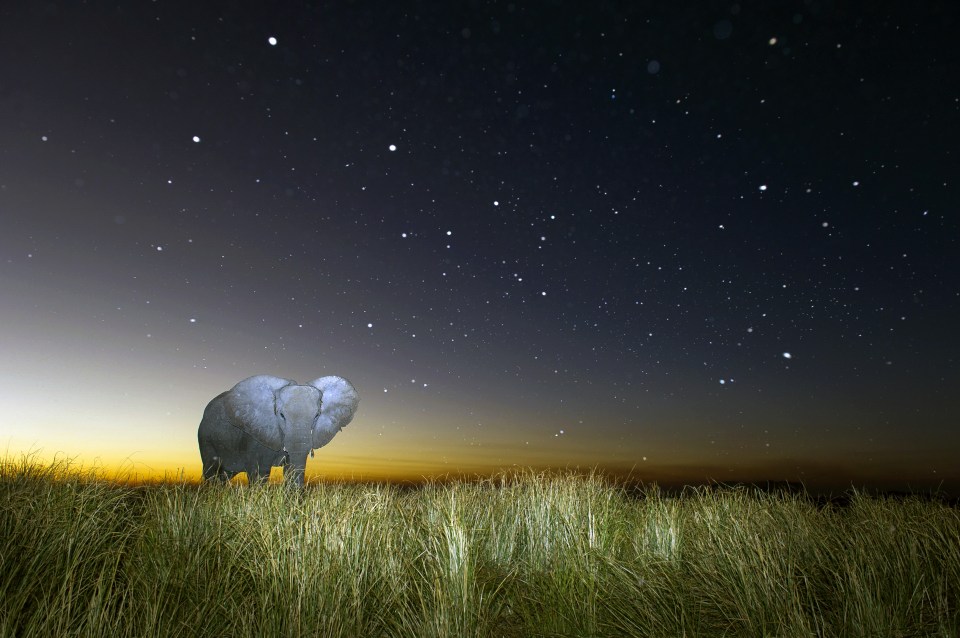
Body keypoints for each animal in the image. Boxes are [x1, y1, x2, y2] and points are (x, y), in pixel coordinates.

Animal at [199, 372, 360, 488]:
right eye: (281, 415)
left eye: (317, 416)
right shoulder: (256, 436)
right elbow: (259, 472)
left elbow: (290, 469)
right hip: (206, 438)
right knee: (211, 470)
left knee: (224, 475)